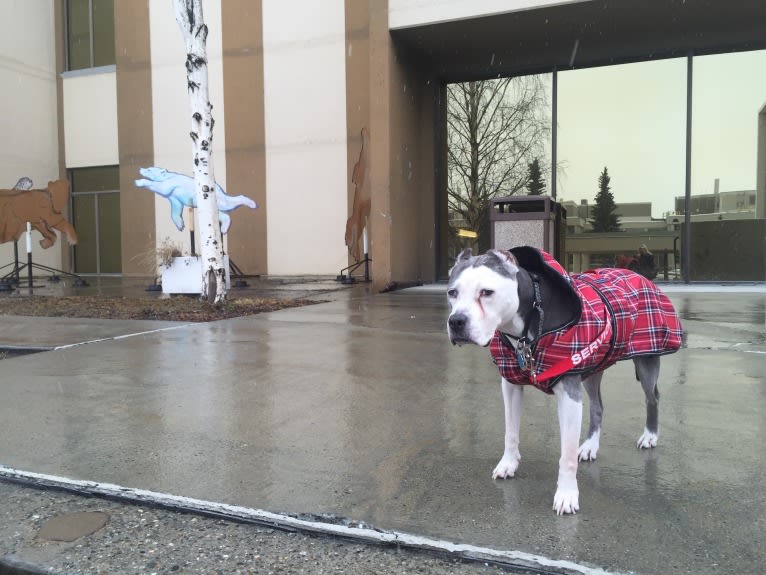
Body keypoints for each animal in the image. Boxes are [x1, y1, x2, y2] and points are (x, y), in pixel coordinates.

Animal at [448, 245, 688, 516]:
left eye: (487, 292)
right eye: (452, 292)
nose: (456, 321)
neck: (528, 325)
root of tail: (638, 274)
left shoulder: (569, 395)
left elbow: (567, 455)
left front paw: (566, 494)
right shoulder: (511, 385)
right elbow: (510, 431)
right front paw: (508, 463)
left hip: (647, 360)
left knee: (652, 398)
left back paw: (650, 435)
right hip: (593, 369)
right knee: (597, 406)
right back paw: (591, 445)